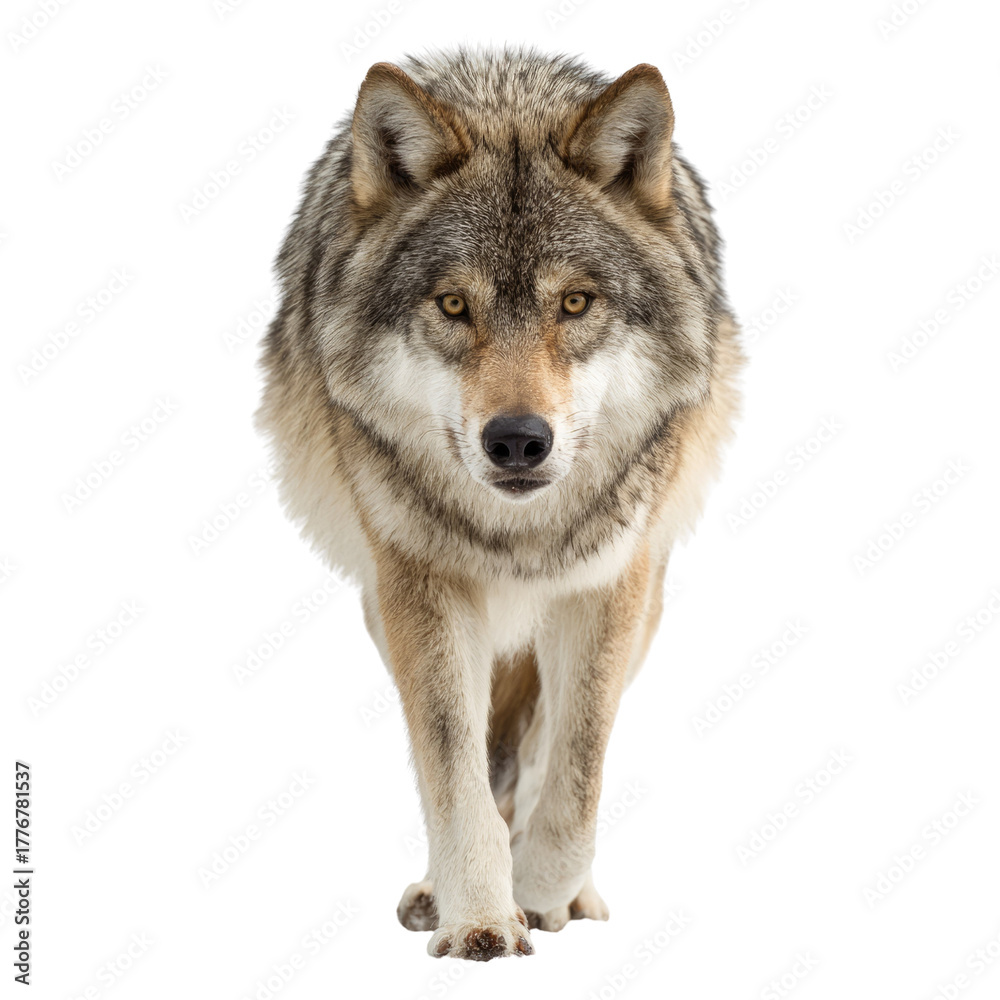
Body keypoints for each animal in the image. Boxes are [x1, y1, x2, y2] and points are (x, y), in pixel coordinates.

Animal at [256, 47, 743, 960]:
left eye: (575, 302)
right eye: (454, 305)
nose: (517, 440)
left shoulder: (608, 584)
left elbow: (576, 770)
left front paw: (540, 891)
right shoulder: (421, 587)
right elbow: (453, 772)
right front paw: (479, 916)